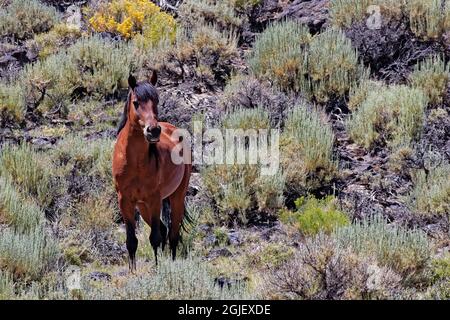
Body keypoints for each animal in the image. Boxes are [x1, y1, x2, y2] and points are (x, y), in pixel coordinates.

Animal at [112, 71, 192, 272]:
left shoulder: (154, 199)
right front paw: (133, 271)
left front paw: (157, 270)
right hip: (143, 206)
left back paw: (171, 263)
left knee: (172, 234)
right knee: (165, 230)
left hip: (176, 197)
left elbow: (155, 238)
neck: (135, 163)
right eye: (136, 102)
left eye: (156, 100)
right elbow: (131, 241)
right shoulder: (125, 200)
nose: (153, 130)